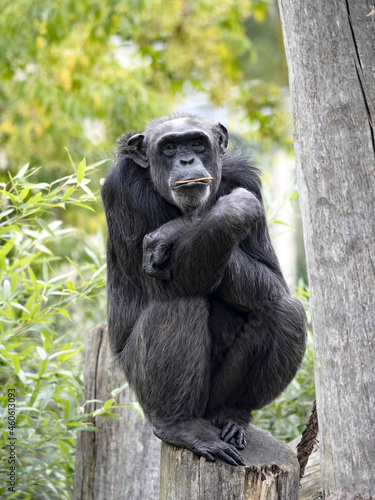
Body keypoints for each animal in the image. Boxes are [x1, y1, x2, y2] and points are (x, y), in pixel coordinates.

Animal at [101, 112, 306, 464]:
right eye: (169, 147)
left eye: (197, 142)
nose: (186, 159)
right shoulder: (123, 188)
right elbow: (164, 287)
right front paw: (226, 210)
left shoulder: (247, 180)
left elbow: (274, 280)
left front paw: (178, 228)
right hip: (136, 383)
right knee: (179, 301)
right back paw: (180, 426)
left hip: (214, 398)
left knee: (284, 309)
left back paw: (233, 413)